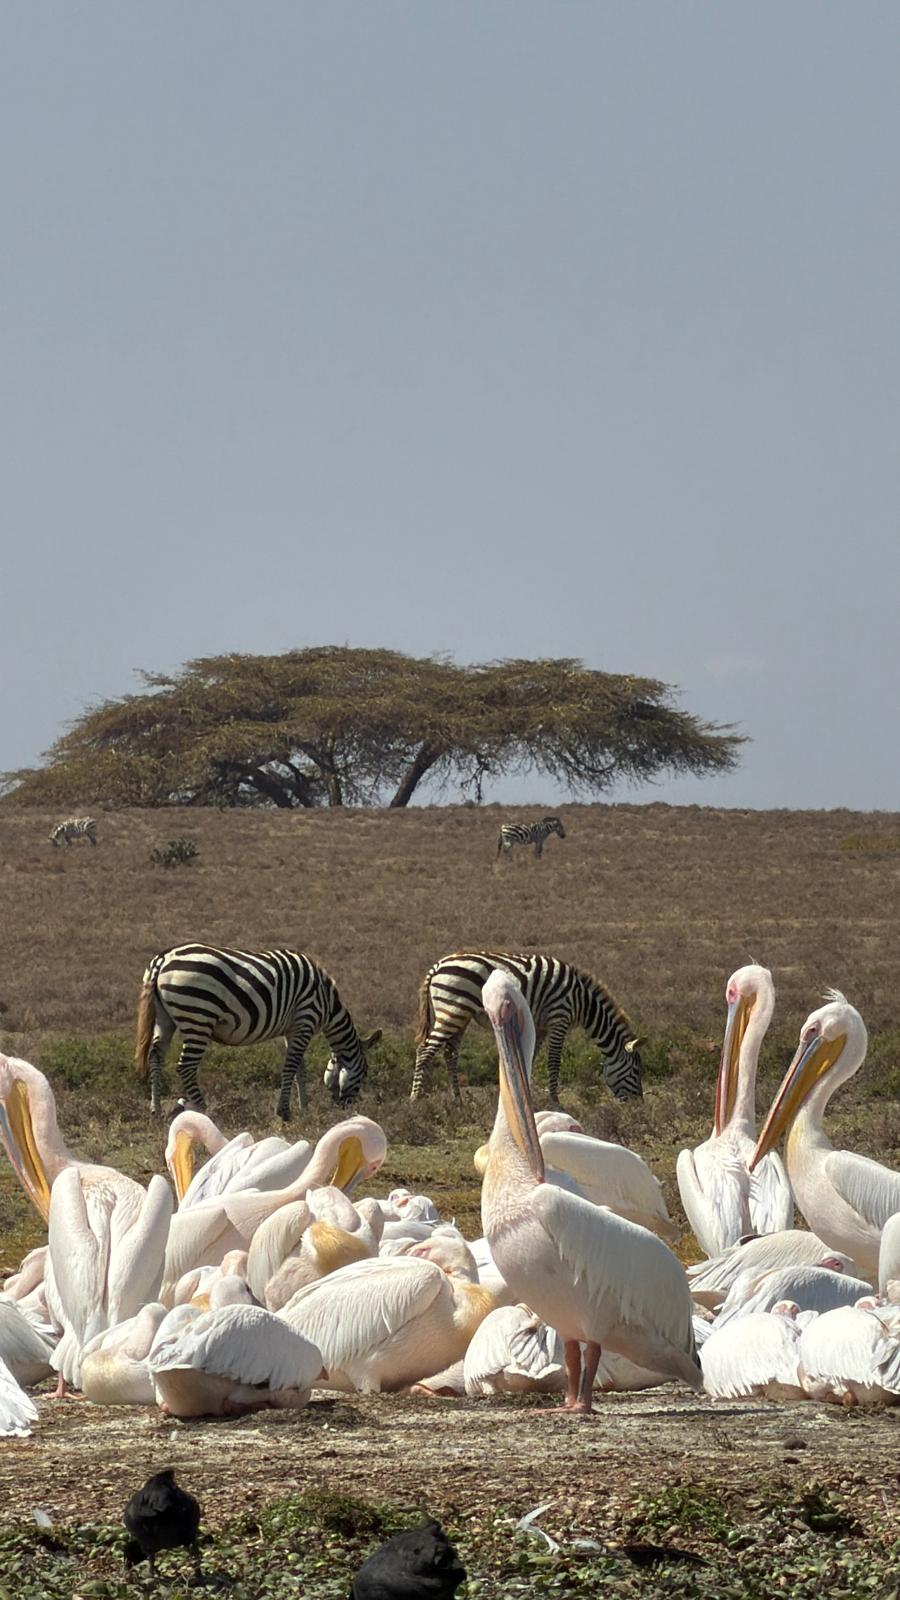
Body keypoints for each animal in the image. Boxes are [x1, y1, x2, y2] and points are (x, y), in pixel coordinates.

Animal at [135, 943, 381, 1119]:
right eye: (365, 1073)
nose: (347, 1109)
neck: (327, 1003)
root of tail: (164, 958)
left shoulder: (292, 1029)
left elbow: (299, 1069)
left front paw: (303, 1107)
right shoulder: (305, 1020)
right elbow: (291, 1067)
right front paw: (284, 1112)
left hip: (165, 1018)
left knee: (156, 1057)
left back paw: (155, 1111)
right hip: (198, 1016)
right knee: (185, 1066)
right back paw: (205, 1110)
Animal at [412, 950, 643, 1103]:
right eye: (635, 1070)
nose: (638, 1106)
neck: (582, 1001)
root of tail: (437, 966)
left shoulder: (540, 1026)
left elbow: (530, 1058)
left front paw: (527, 1096)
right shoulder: (559, 1018)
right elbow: (553, 1062)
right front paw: (555, 1102)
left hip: (460, 1015)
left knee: (450, 1054)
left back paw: (458, 1101)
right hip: (452, 1010)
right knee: (425, 1050)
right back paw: (416, 1099)